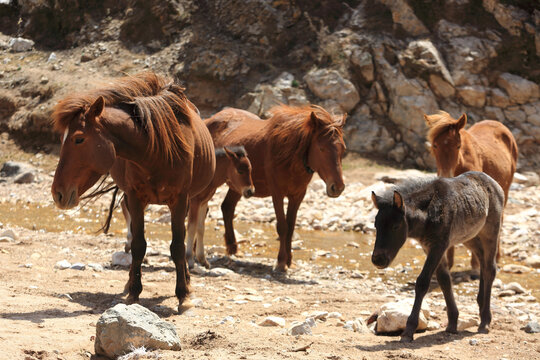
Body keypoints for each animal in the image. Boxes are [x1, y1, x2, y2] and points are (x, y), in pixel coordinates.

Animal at [50, 71, 215, 308]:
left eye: (78, 139)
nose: (58, 193)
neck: (156, 152)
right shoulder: (136, 199)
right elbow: (138, 245)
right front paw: (134, 292)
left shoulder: (179, 200)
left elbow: (177, 246)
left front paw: (183, 295)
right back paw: (129, 284)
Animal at [205, 104, 348, 270]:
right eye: (321, 148)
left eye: (343, 149)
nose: (337, 187)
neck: (289, 156)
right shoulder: (277, 194)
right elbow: (282, 227)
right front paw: (281, 261)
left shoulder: (297, 195)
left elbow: (291, 227)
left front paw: (289, 261)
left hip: (238, 186)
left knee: (227, 207)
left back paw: (233, 248)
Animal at [424, 111, 516, 268]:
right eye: (435, 145)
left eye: (458, 146)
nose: (446, 176)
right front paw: (449, 262)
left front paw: (475, 264)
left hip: (505, 190)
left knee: (500, 219)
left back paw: (495, 257)